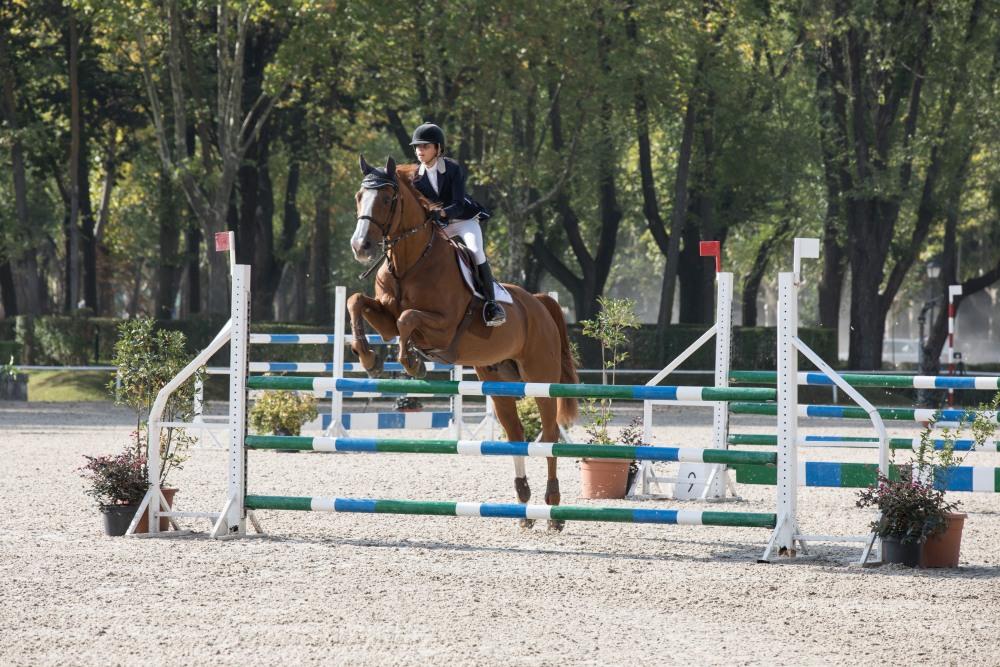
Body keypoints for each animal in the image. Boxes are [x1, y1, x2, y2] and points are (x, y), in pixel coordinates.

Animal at [348, 157, 580, 532]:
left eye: (385, 198)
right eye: (358, 197)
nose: (360, 247)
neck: (410, 261)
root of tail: (539, 302)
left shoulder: (442, 326)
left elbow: (408, 318)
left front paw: (413, 362)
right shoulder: (383, 316)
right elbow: (357, 301)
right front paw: (369, 359)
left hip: (540, 380)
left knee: (549, 436)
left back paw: (553, 509)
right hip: (499, 381)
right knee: (516, 435)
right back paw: (524, 505)